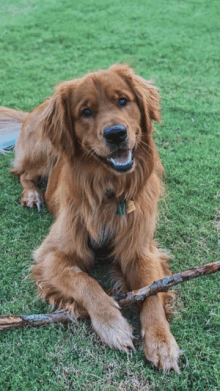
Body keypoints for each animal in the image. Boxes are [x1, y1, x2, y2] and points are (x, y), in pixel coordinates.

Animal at [0, 65, 180, 374]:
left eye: (123, 101)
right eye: (86, 112)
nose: (116, 134)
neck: (109, 191)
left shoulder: (140, 251)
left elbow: (151, 293)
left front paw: (161, 340)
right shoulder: (52, 254)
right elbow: (85, 282)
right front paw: (113, 325)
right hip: (42, 151)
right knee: (24, 174)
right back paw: (33, 194)